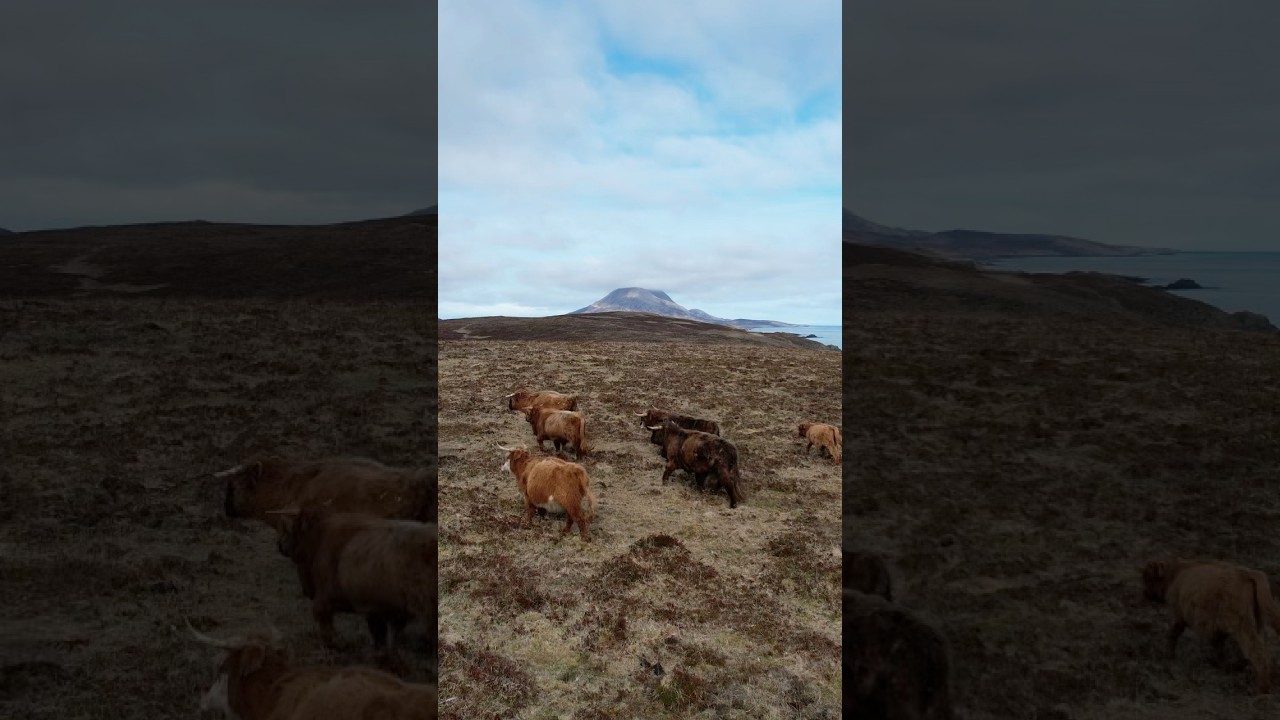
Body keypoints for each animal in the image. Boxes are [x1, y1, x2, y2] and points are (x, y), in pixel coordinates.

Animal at [270, 509, 438, 670]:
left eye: (288, 530)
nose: (279, 544)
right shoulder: (378, 609)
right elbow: (382, 636)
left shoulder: (324, 600)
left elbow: (326, 626)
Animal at [1142, 558, 1280, 694]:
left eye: (1148, 578)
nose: (1145, 594)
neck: (1175, 574)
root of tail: (1247, 574)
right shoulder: (1217, 629)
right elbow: (1218, 646)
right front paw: (1222, 665)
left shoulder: (1179, 616)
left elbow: (1173, 634)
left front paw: (1168, 655)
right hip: (1258, 624)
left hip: (1243, 627)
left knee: (1257, 652)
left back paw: (1262, 688)